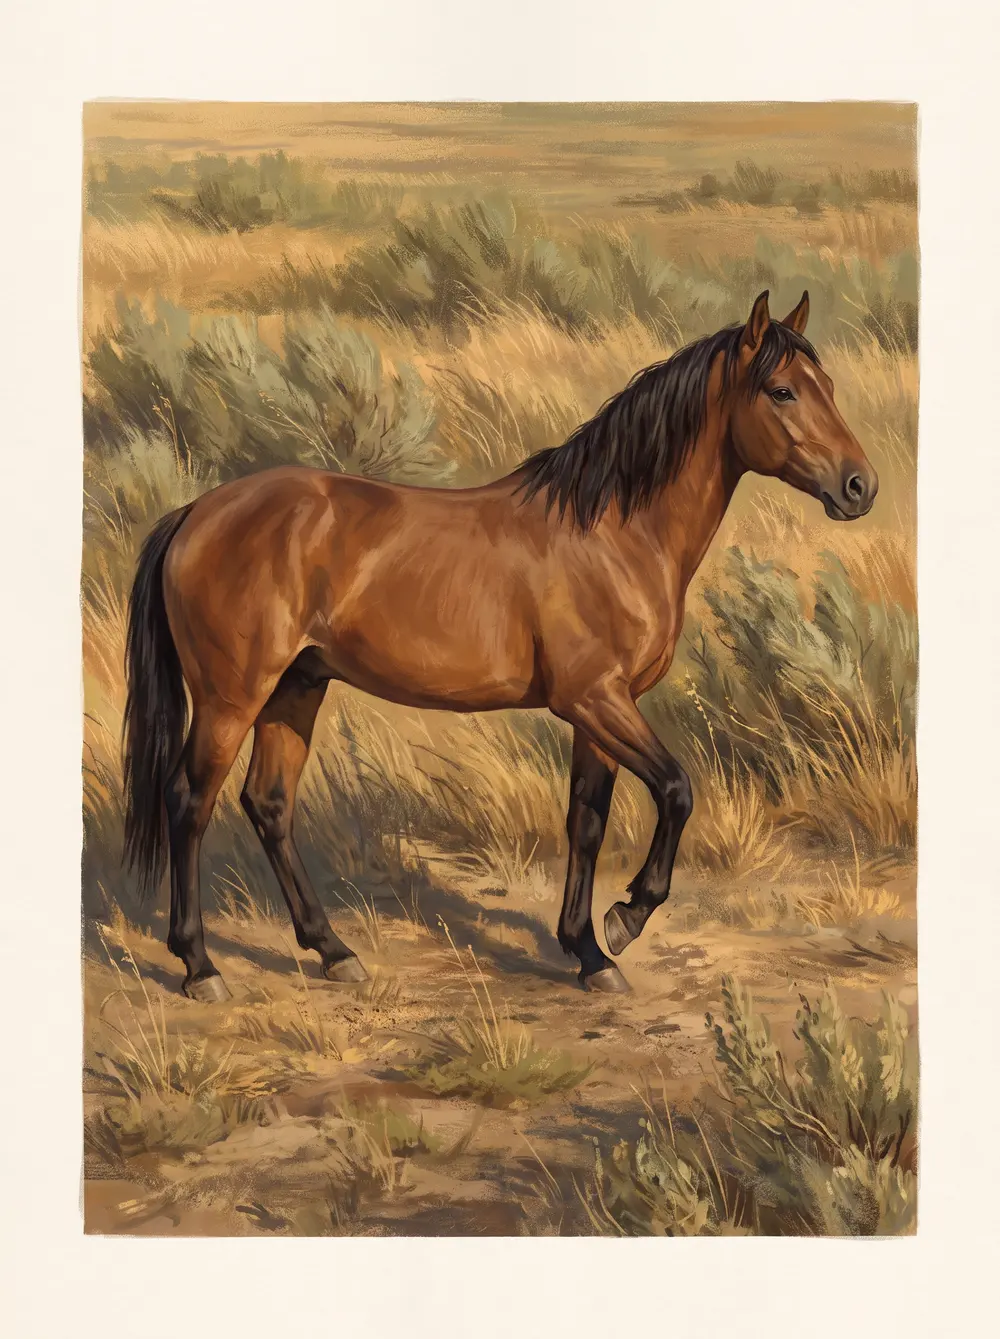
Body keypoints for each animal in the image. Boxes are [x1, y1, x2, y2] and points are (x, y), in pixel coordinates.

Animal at [122, 290, 877, 1002]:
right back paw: (200, 966)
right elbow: (676, 789)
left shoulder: (601, 711)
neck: (613, 531)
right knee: (190, 801)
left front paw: (589, 952)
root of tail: (194, 513)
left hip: (296, 688)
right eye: (781, 390)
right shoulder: (595, 699)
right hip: (232, 697)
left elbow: (587, 822)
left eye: (829, 386)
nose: (859, 486)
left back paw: (334, 952)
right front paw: (626, 918)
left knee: (269, 804)